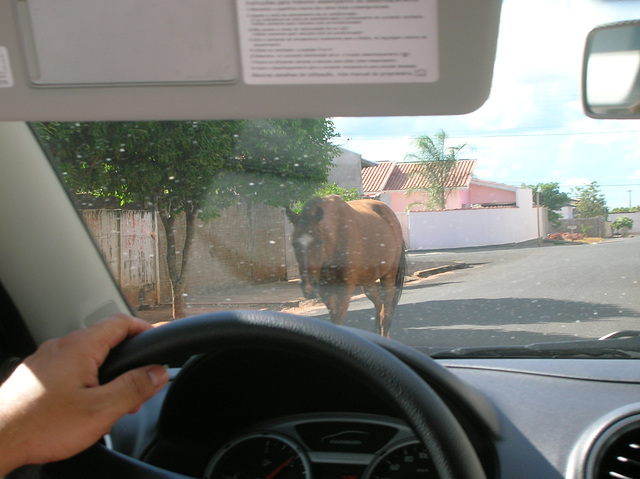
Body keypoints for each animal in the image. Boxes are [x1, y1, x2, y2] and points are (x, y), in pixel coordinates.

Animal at [284, 195, 404, 338]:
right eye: (294, 244)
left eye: (319, 242)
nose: (308, 288)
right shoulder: (325, 290)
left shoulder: (345, 289)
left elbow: (338, 319)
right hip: (368, 282)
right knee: (379, 305)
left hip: (389, 276)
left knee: (385, 315)